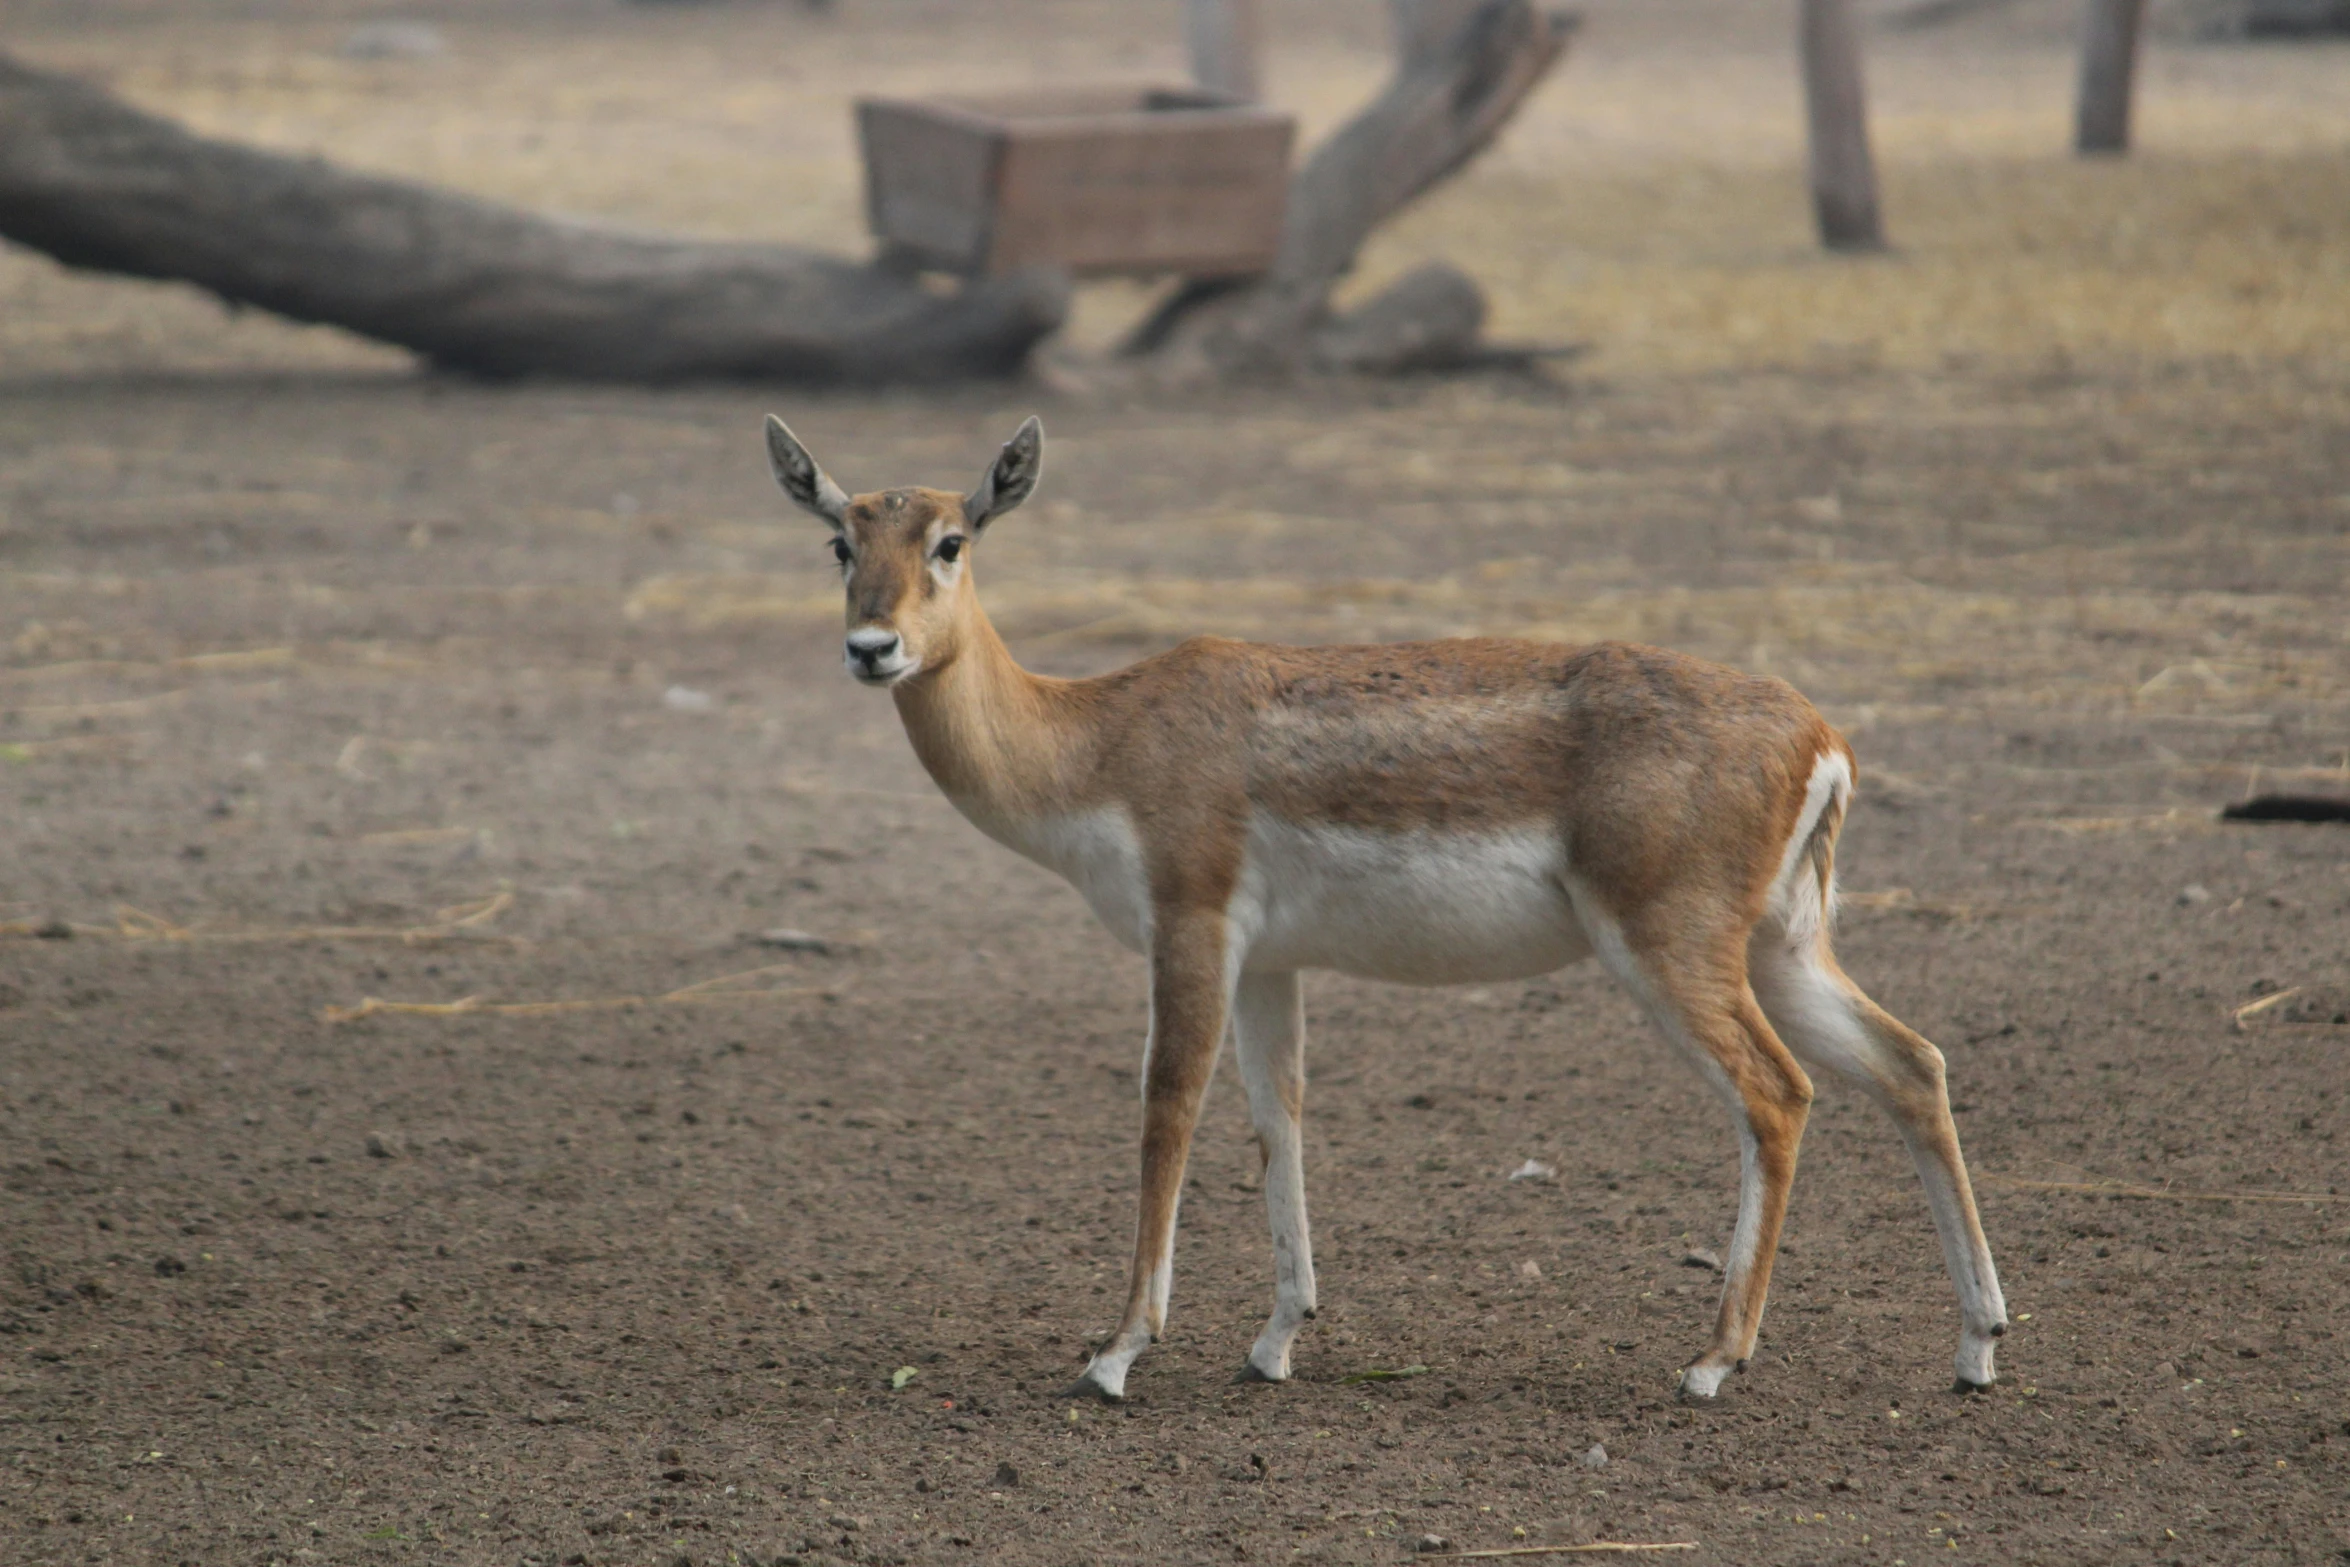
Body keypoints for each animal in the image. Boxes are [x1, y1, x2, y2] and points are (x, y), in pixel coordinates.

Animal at [761, 411, 2011, 1400]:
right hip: (1784, 946)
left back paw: (1712, 1360)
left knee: (1778, 1094)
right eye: (839, 540)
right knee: (1912, 1063)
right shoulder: (1269, 961)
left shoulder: (1189, 927)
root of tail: (1821, 737)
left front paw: (1115, 1351)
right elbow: (1278, 1119)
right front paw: (1275, 1339)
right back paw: (1977, 1345)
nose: (871, 646)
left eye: (950, 540)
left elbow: (1167, 1113)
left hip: (1671, 946)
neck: (1098, 735)